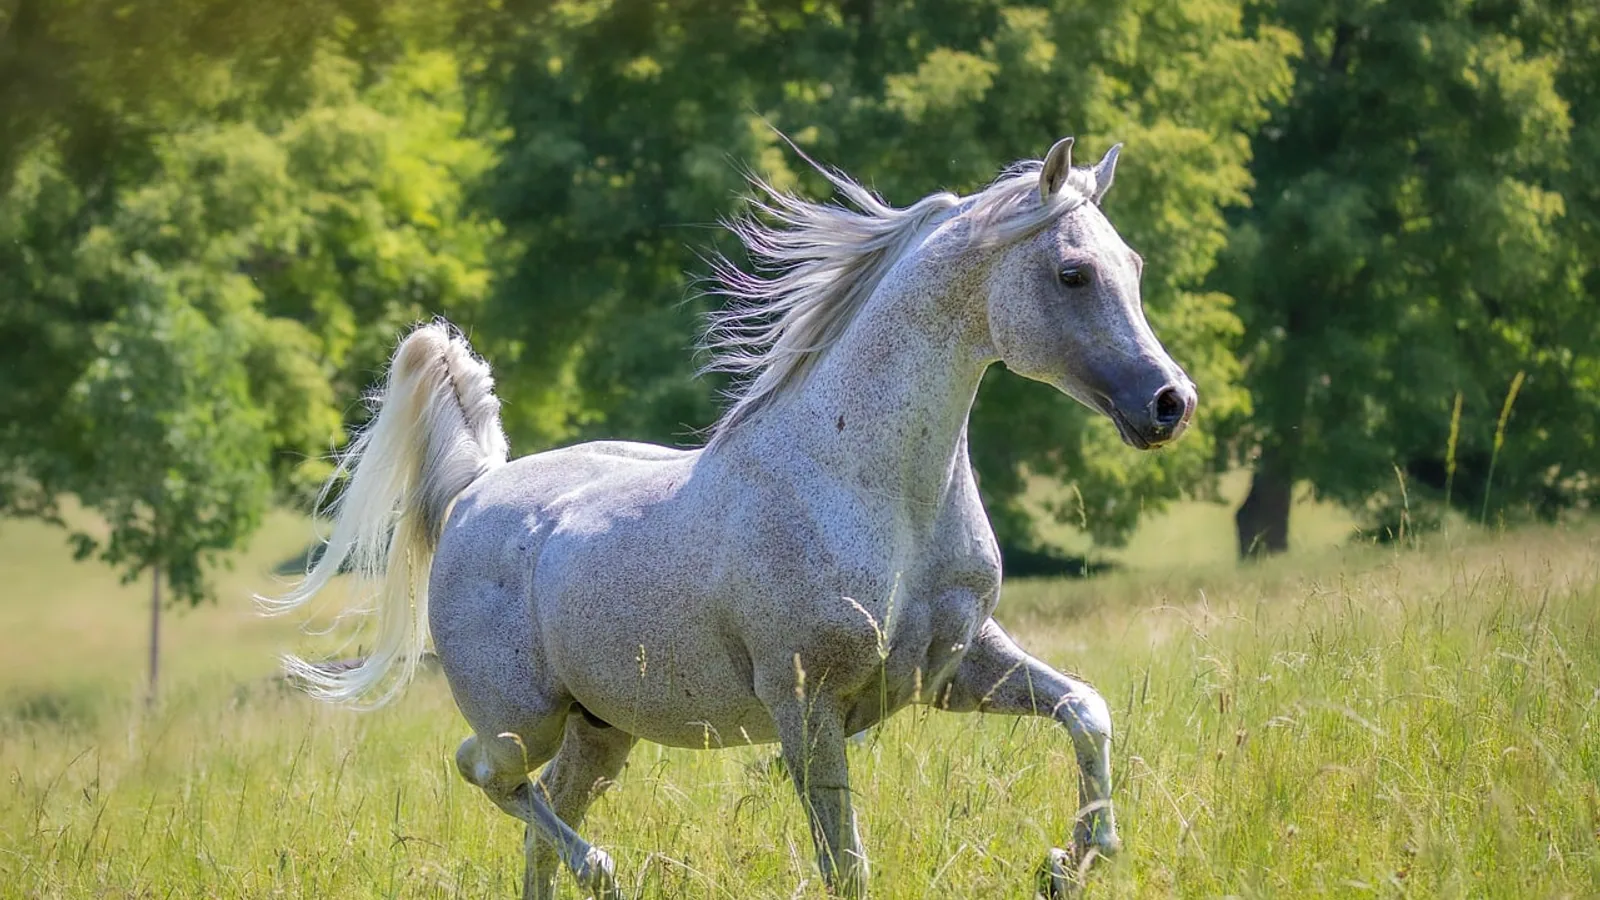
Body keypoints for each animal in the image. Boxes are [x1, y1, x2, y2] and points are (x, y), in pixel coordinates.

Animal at [262, 135, 1196, 899]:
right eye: (1073, 272)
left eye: (1134, 264)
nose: (1169, 403)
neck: (870, 492)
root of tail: (474, 491)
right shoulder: (807, 707)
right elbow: (847, 867)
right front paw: (1059, 862)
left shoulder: (956, 670)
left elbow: (1087, 711)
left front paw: (1065, 864)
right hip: (521, 718)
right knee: (488, 776)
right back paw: (604, 869)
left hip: (602, 731)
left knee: (539, 821)